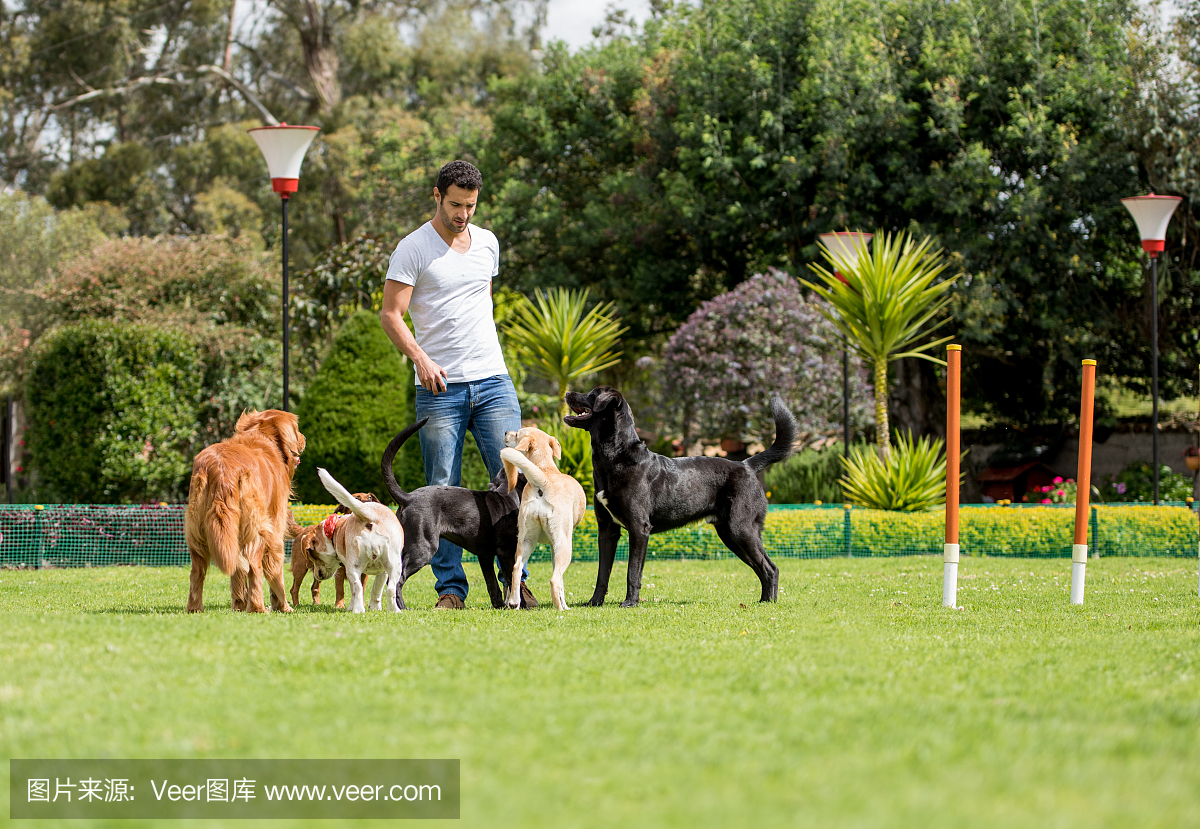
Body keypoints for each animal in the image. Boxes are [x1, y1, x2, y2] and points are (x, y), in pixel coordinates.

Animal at [501, 427, 585, 609]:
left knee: (516, 568)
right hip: (565, 546)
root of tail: (543, 482)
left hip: (526, 541)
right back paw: (559, 609)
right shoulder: (557, 546)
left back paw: (514, 602)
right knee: (554, 579)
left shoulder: (552, 547)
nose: (505, 433)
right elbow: (561, 583)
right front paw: (565, 605)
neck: (546, 469)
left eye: (517, 434)